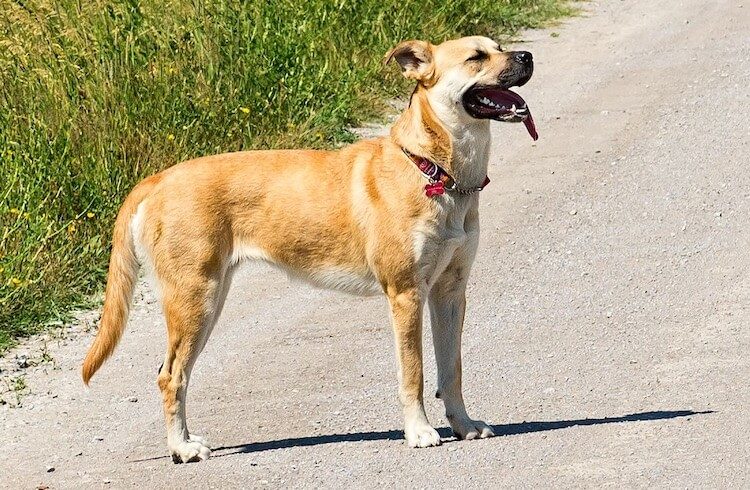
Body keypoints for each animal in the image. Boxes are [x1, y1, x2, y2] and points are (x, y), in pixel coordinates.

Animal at [82, 35, 536, 464]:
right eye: (476, 57)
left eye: (498, 47)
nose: (527, 56)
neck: (432, 168)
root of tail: (156, 179)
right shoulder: (406, 294)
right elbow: (414, 373)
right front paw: (420, 432)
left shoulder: (450, 291)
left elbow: (451, 369)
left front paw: (463, 424)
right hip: (195, 300)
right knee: (170, 376)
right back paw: (183, 448)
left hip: (207, 299)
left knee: (171, 373)